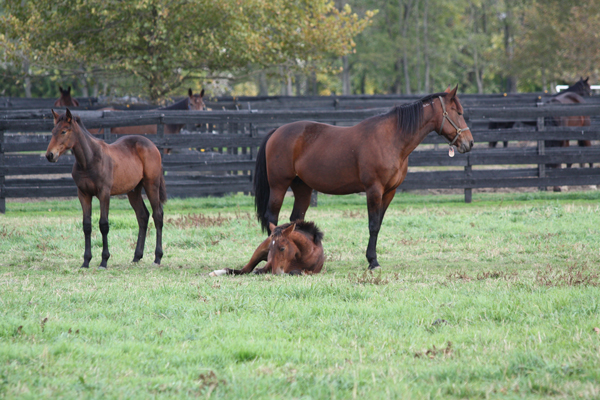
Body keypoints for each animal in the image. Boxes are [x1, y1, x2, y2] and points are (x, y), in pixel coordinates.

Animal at [46, 108, 166, 268]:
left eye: (64, 131)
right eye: (53, 131)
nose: (50, 155)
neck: (89, 160)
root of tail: (152, 145)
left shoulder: (104, 194)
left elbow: (103, 225)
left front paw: (104, 260)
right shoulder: (83, 194)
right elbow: (87, 225)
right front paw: (86, 261)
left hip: (151, 185)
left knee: (157, 215)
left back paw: (157, 258)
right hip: (133, 191)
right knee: (142, 216)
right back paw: (136, 256)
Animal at [253, 86, 474, 270]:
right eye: (458, 112)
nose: (469, 143)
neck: (391, 139)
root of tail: (277, 130)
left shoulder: (389, 192)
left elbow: (379, 225)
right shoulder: (374, 190)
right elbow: (373, 225)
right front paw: (372, 261)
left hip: (302, 188)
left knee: (295, 220)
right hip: (279, 186)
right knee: (272, 218)